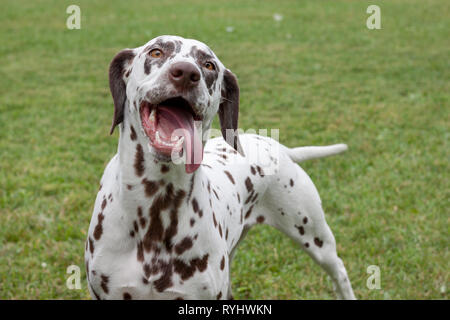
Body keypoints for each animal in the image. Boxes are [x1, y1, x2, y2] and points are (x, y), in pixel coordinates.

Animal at [86, 36, 356, 302]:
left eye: (208, 65)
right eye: (156, 52)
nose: (186, 73)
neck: (156, 210)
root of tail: (279, 147)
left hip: (316, 237)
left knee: (340, 272)